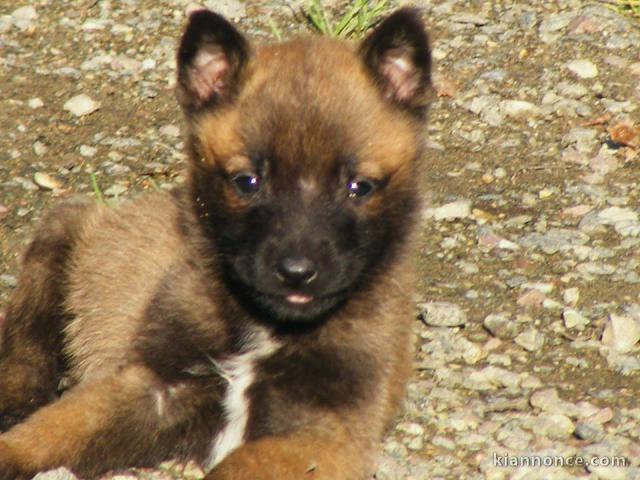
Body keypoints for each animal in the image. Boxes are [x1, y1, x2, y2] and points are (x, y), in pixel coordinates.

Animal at [0, 8, 432, 480]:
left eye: (360, 187)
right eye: (247, 182)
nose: (296, 272)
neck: (266, 327)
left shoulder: (328, 434)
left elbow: (238, 464)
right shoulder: (151, 385)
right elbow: (48, 433)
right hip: (65, 236)